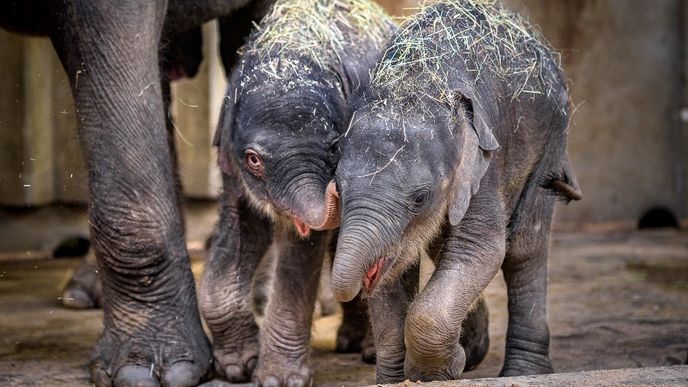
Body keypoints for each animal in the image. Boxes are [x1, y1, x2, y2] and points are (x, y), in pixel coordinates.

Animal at [200, 0, 392, 387]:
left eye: (335, 147)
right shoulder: (231, 163)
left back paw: (367, 351)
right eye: (254, 159)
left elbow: (302, 251)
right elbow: (241, 229)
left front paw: (277, 380)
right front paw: (238, 367)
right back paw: (351, 342)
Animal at [328, 0, 580, 384]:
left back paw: (523, 371)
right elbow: (394, 270)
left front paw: (443, 368)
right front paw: (400, 377)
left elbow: (481, 249)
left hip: (549, 142)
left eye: (419, 198)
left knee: (524, 248)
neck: (415, 82)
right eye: (338, 188)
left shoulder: (484, 163)